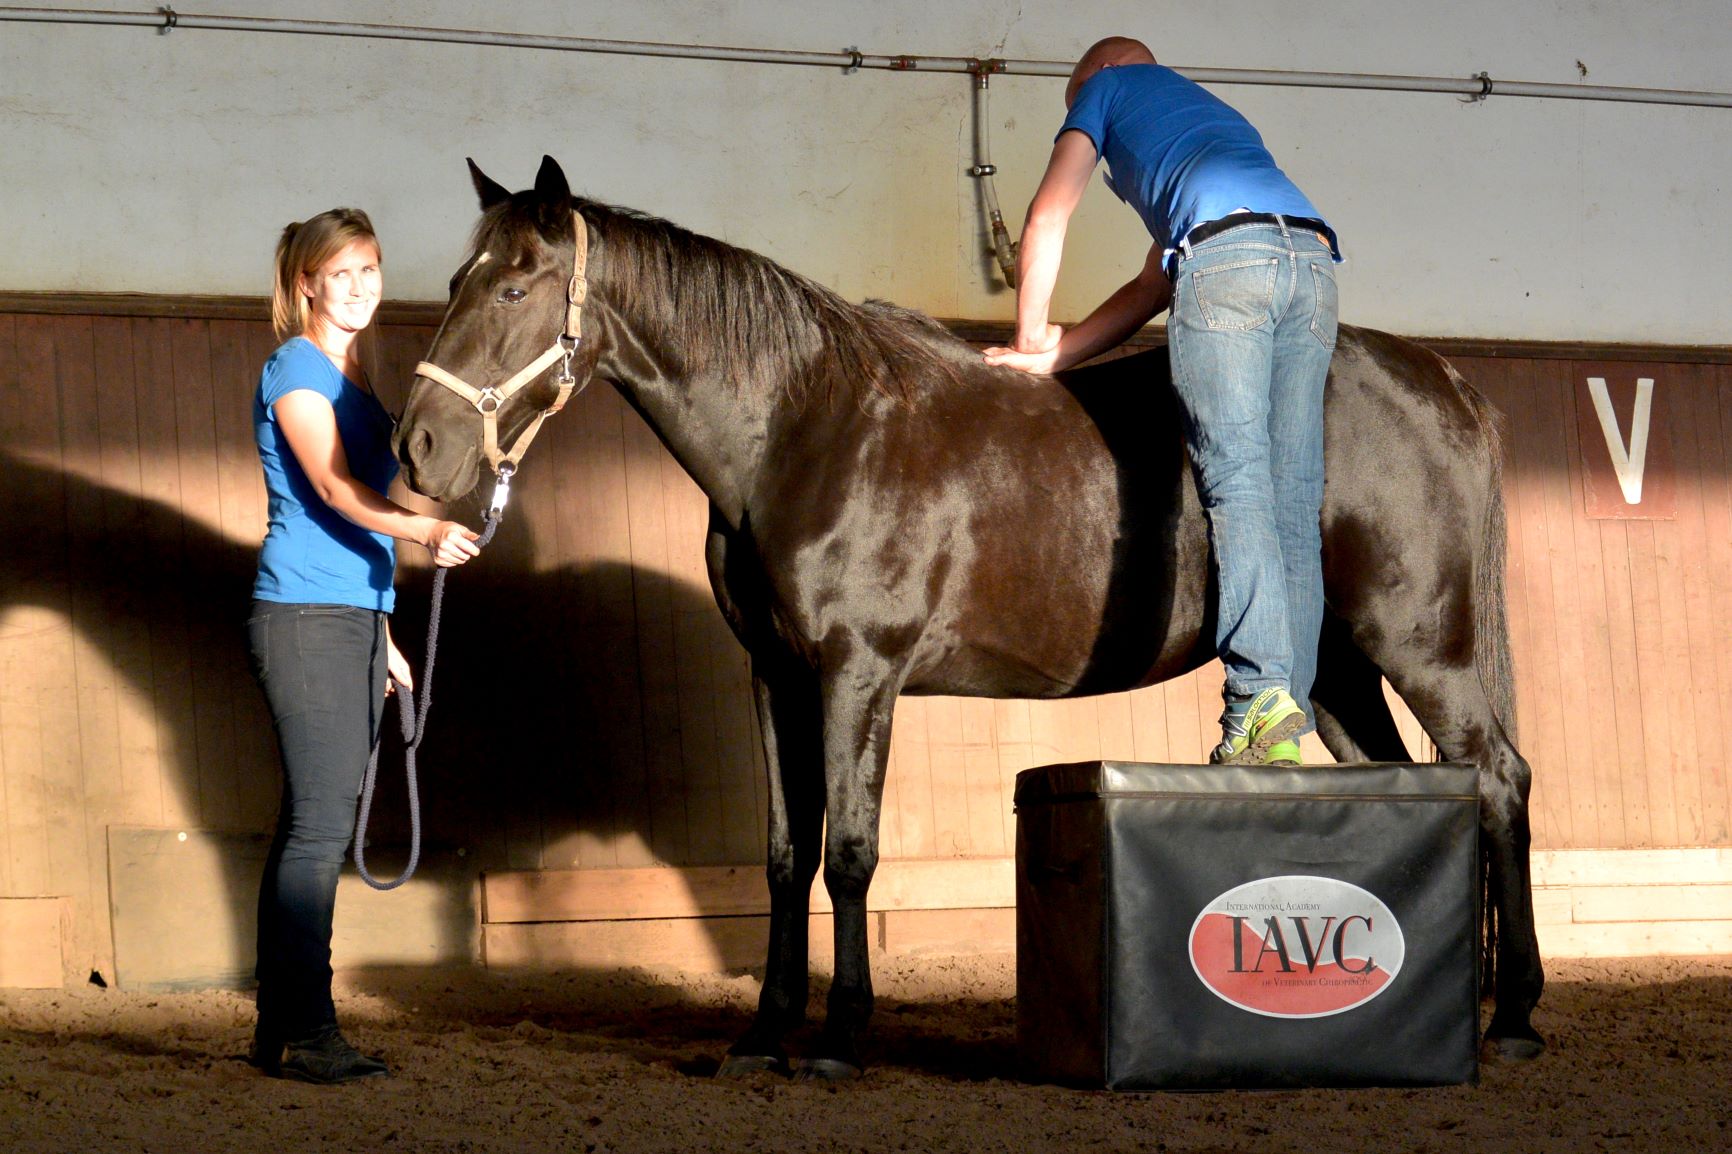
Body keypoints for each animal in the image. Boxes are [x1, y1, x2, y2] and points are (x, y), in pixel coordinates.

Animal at [395, 156, 1545, 1078]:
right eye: (454, 282)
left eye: (514, 284)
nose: (418, 447)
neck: (805, 427)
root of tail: (1442, 377)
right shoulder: (775, 674)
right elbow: (785, 855)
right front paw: (762, 1034)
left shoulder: (859, 671)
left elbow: (850, 852)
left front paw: (839, 1038)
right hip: (1342, 665)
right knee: (1420, 783)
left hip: (1423, 644)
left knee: (1496, 779)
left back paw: (1517, 1016)